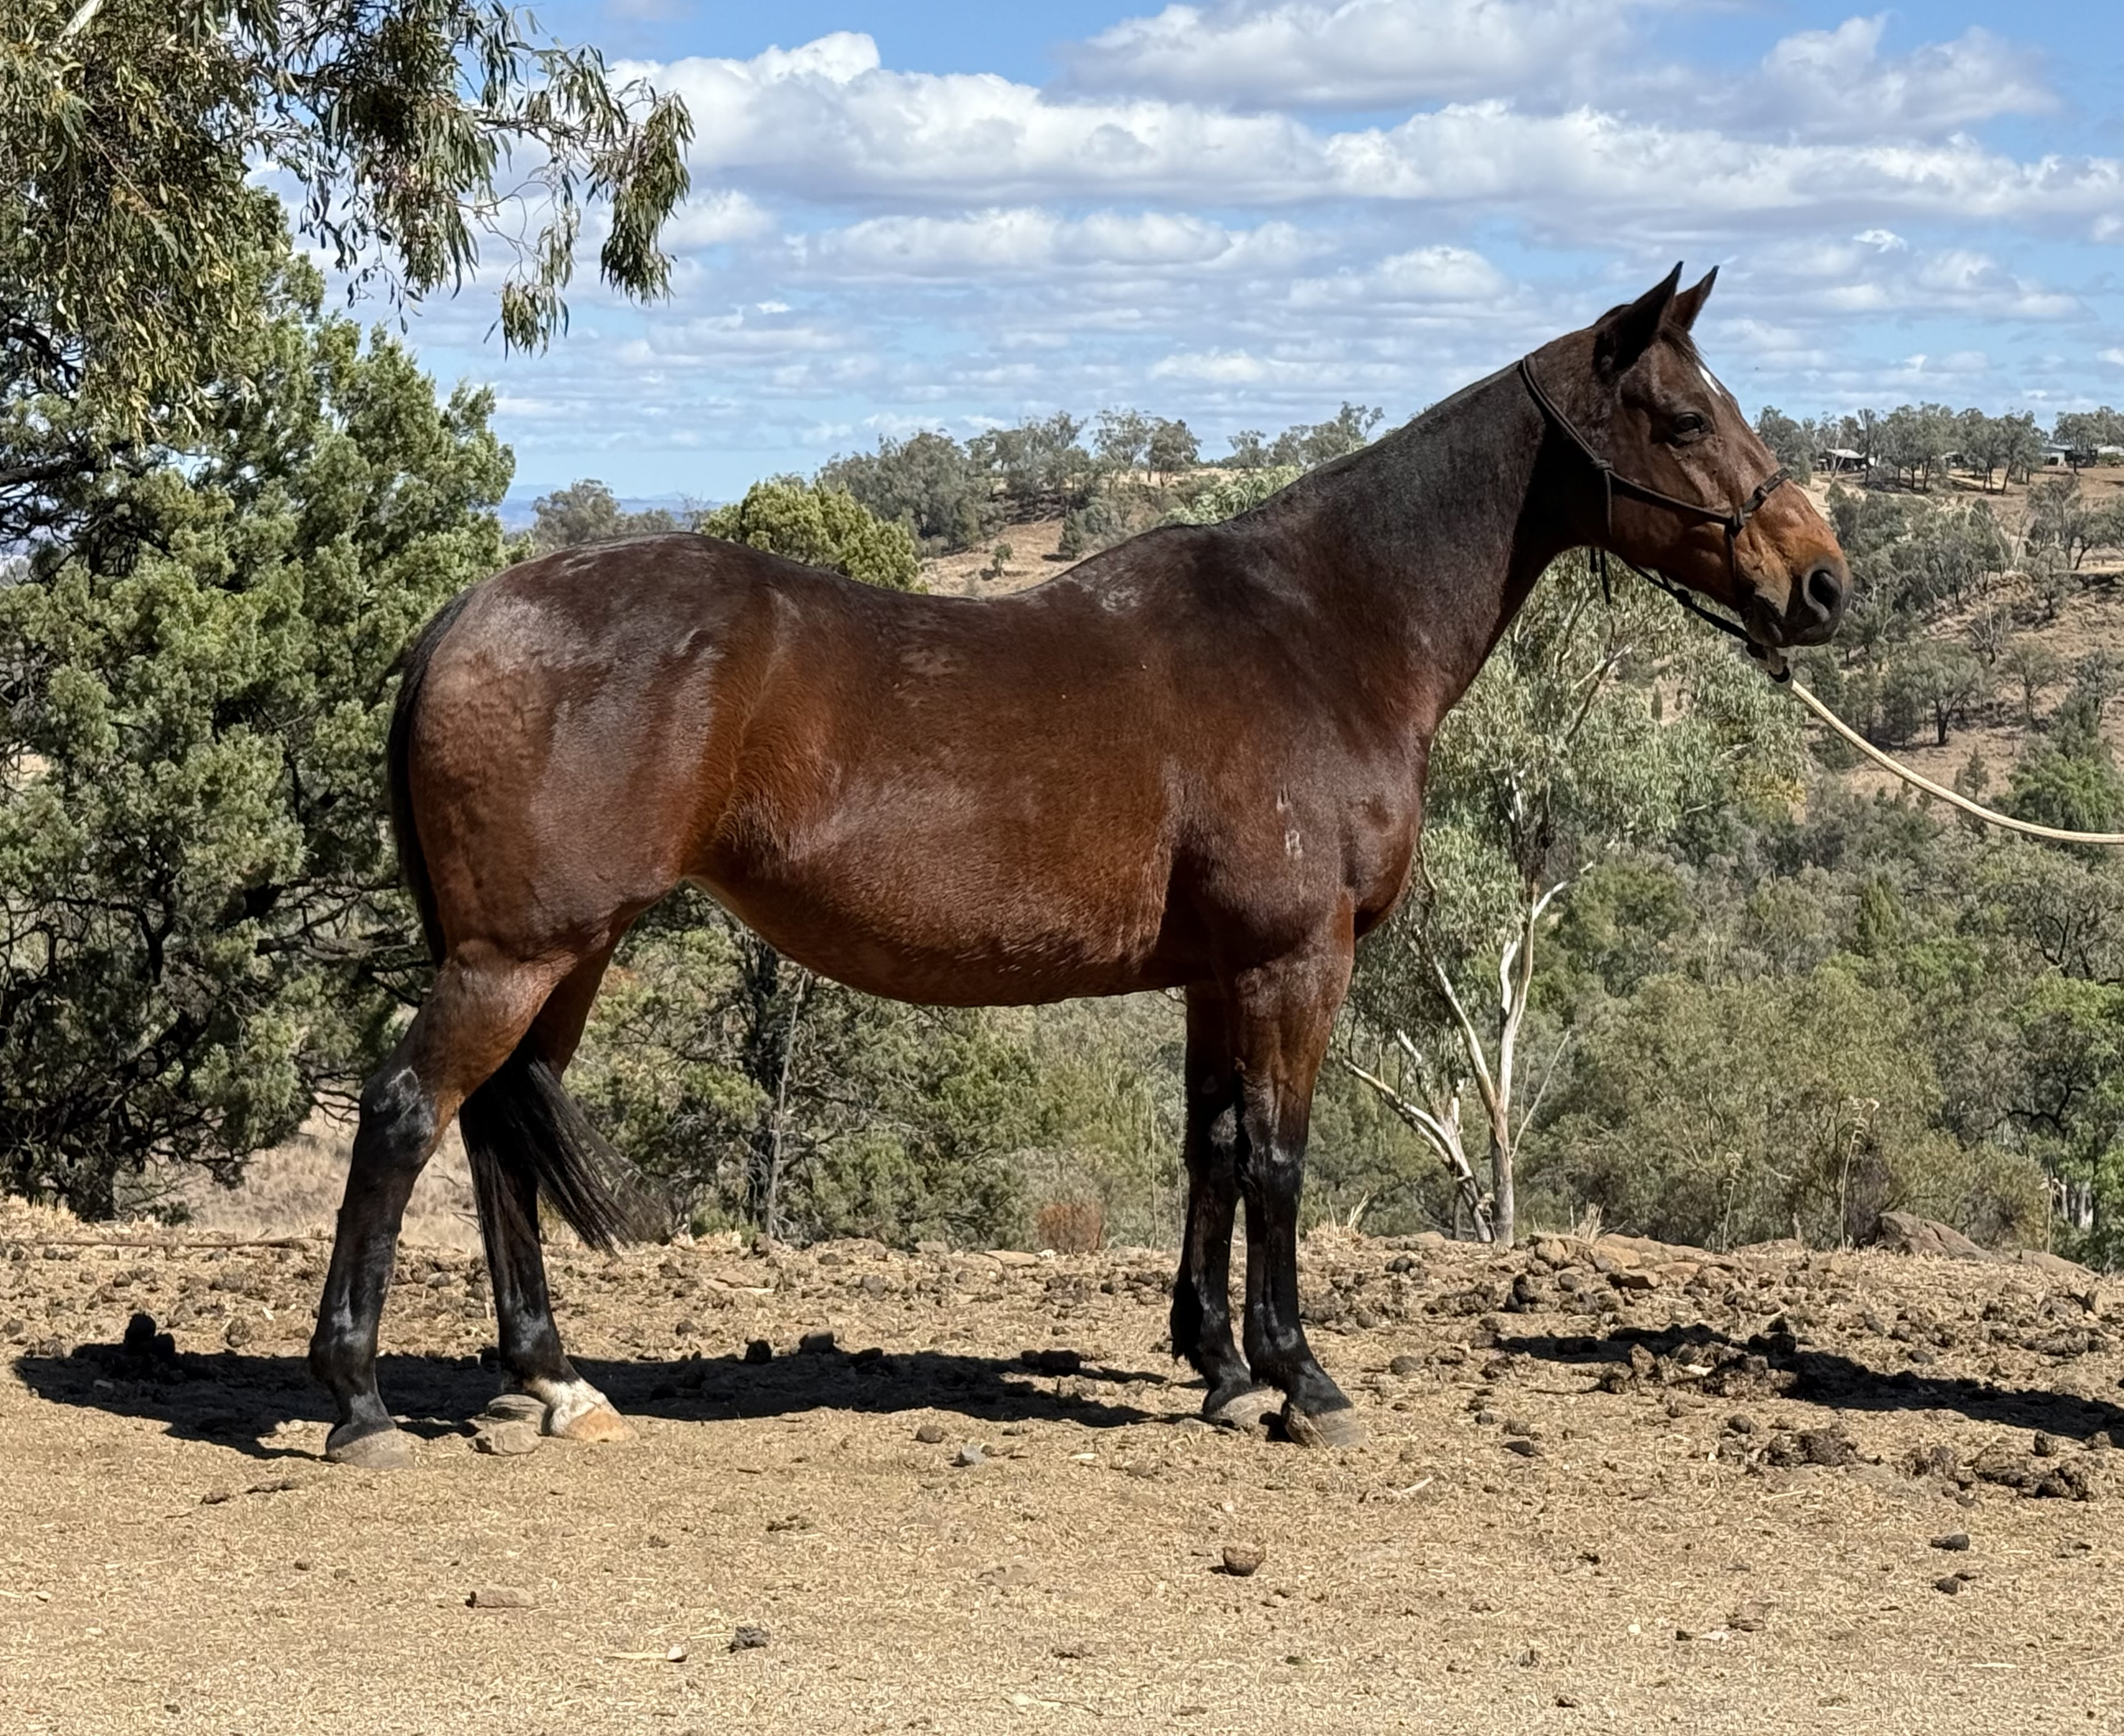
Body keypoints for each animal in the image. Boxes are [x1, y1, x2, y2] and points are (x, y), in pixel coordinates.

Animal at [309, 263, 1849, 1468]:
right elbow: (1280, 1158)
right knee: (403, 1116)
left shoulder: (1220, 974)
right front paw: (1303, 1381)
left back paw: (546, 1380)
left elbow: (1212, 1149)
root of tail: (470, 612)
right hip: (514, 954)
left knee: (497, 1127)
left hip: (566, 953)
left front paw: (1220, 1370)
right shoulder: (1296, 960)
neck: (1320, 630)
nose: (1822, 582)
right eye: (1681, 417)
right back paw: (362, 1402)